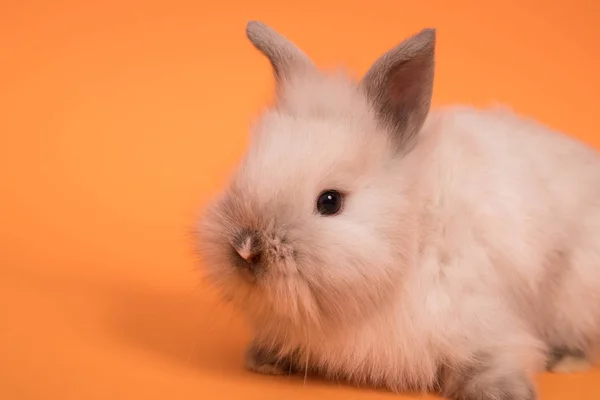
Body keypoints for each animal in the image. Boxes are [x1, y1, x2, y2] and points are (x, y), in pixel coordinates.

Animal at [197, 21, 600, 400]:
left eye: (330, 201)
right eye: (243, 170)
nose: (246, 250)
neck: (411, 234)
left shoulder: (476, 316)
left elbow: (490, 357)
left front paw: (502, 392)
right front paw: (264, 360)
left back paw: (566, 360)